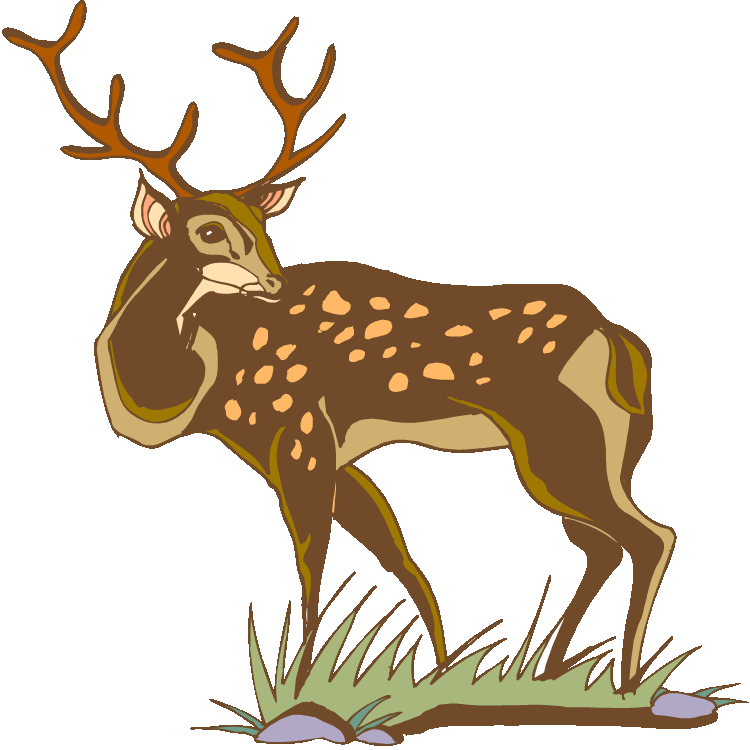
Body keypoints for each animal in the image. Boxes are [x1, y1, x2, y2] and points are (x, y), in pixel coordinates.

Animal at [5, 1, 676, 697]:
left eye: (264, 224)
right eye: (209, 230)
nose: (276, 282)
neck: (190, 392)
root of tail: (622, 344)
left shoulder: (297, 432)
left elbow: (314, 557)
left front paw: (301, 685)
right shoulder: (320, 451)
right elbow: (397, 551)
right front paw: (436, 667)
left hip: (561, 444)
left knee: (650, 536)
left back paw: (627, 680)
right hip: (593, 452)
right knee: (601, 545)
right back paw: (549, 669)